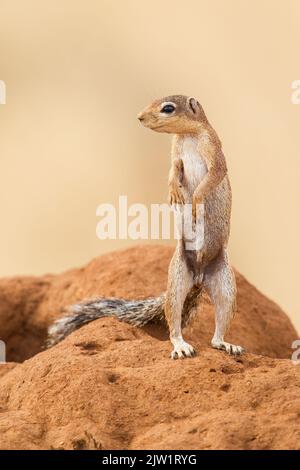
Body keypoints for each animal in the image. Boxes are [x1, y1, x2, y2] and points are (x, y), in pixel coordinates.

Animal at [47, 96, 244, 360]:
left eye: (168, 108)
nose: (139, 117)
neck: (187, 136)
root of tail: (199, 279)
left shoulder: (214, 150)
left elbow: (214, 176)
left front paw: (195, 202)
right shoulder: (176, 155)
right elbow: (174, 169)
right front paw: (173, 191)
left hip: (226, 287)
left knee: (217, 330)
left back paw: (226, 344)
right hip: (177, 281)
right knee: (174, 323)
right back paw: (181, 346)